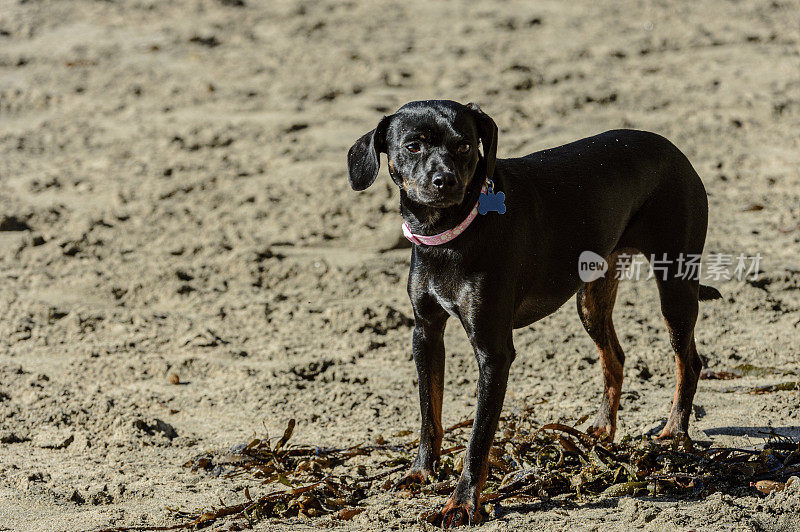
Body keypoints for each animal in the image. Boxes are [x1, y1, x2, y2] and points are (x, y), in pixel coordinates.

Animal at [346, 101, 720, 528]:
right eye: (412, 146)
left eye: (463, 146)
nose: (444, 181)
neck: (452, 233)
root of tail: (674, 150)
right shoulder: (425, 334)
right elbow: (430, 414)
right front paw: (421, 472)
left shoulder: (494, 353)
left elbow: (478, 438)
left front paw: (462, 503)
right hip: (591, 298)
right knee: (616, 357)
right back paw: (602, 430)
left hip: (675, 285)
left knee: (688, 361)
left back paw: (674, 433)